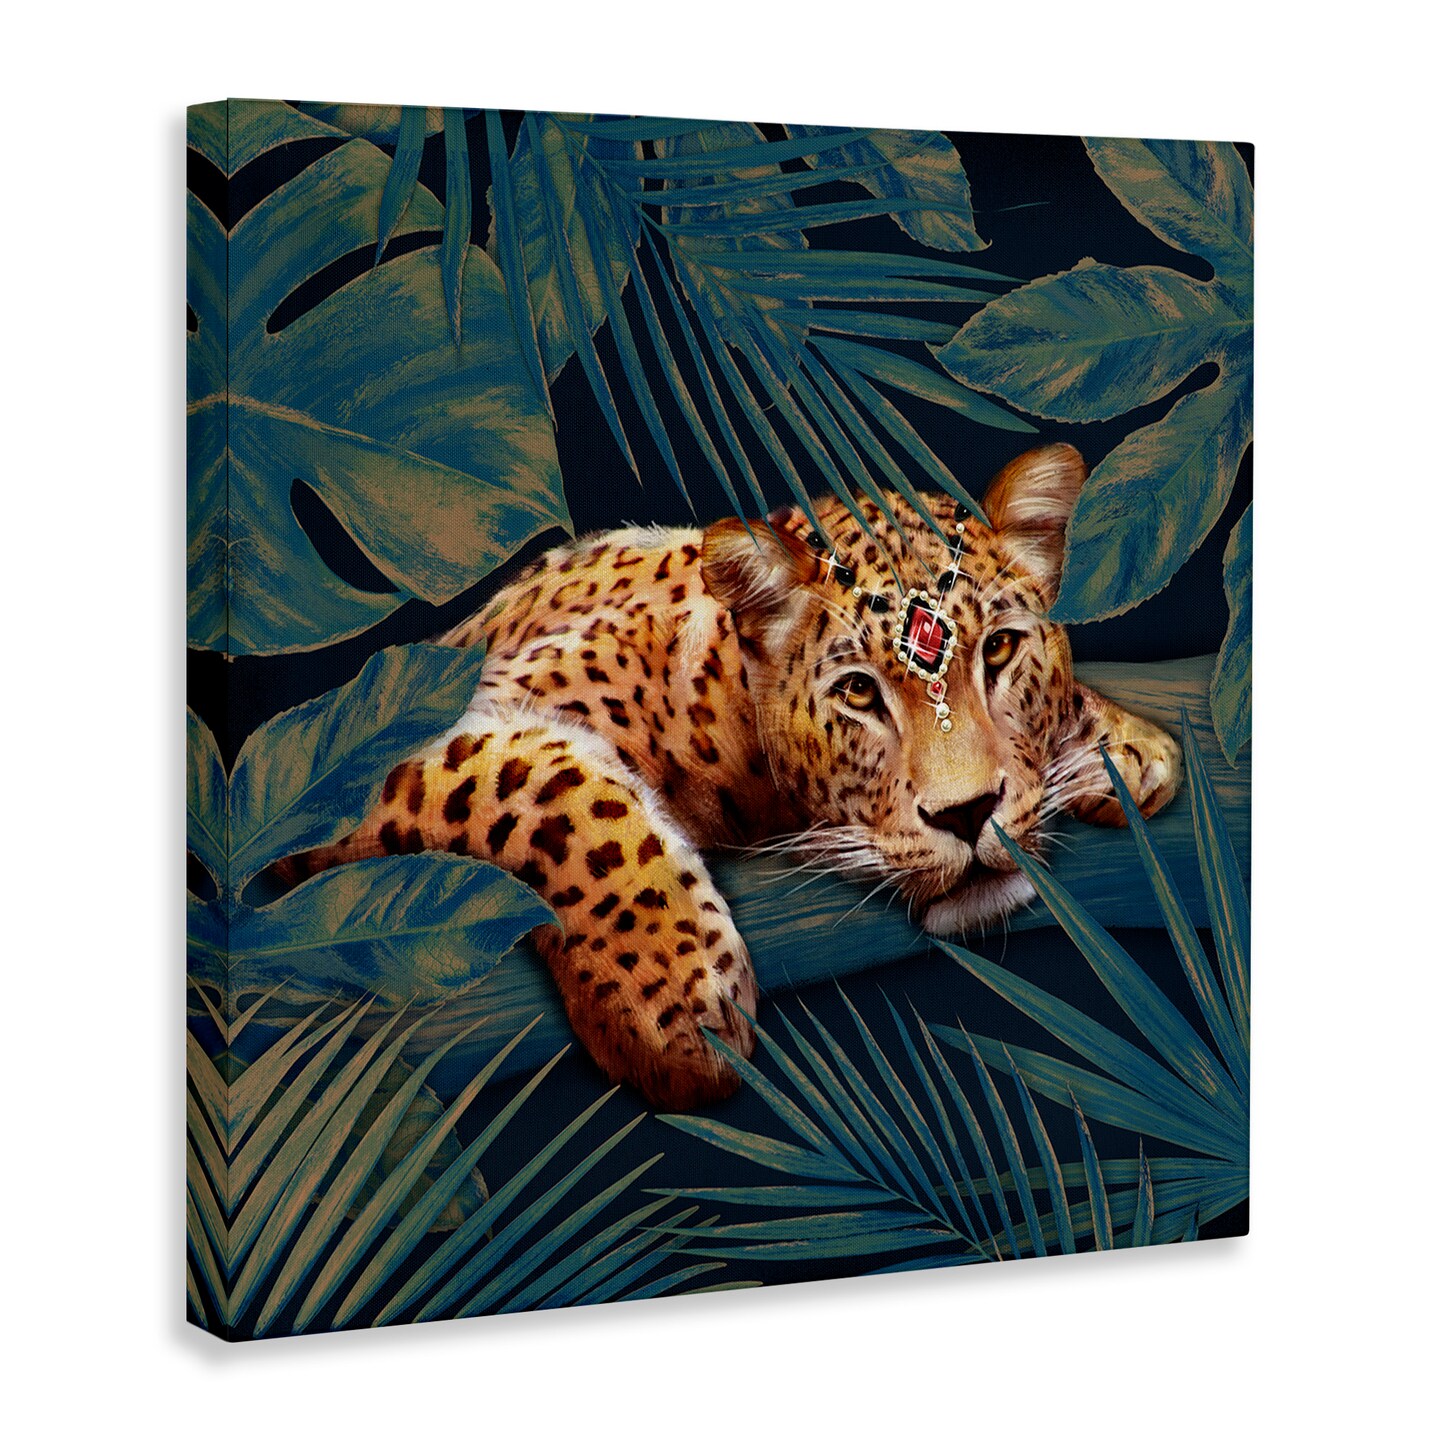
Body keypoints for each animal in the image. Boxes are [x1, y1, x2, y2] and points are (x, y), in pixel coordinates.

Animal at [275, 444, 1180, 1112]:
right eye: (859, 693)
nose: (968, 813)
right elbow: (554, 786)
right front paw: (674, 1004)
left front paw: (1122, 746)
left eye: (1000, 650)